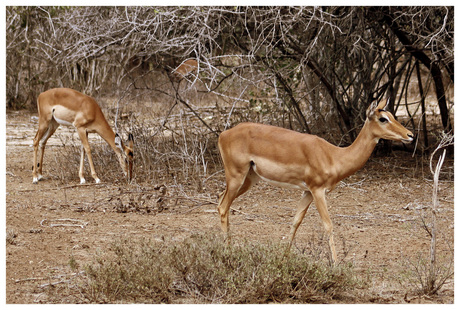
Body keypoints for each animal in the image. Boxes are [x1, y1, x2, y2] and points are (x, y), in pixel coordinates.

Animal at [216, 98, 414, 262]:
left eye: (392, 115)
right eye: (383, 118)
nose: (410, 135)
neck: (334, 156)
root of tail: (223, 134)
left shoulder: (307, 192)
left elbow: (296, 221)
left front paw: (283, 257)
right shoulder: (318, 191)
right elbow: (328, 225)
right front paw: (336, 264)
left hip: (249, 179)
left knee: (220, 202)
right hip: (236, 176)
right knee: (223, 206)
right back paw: (228, 252)